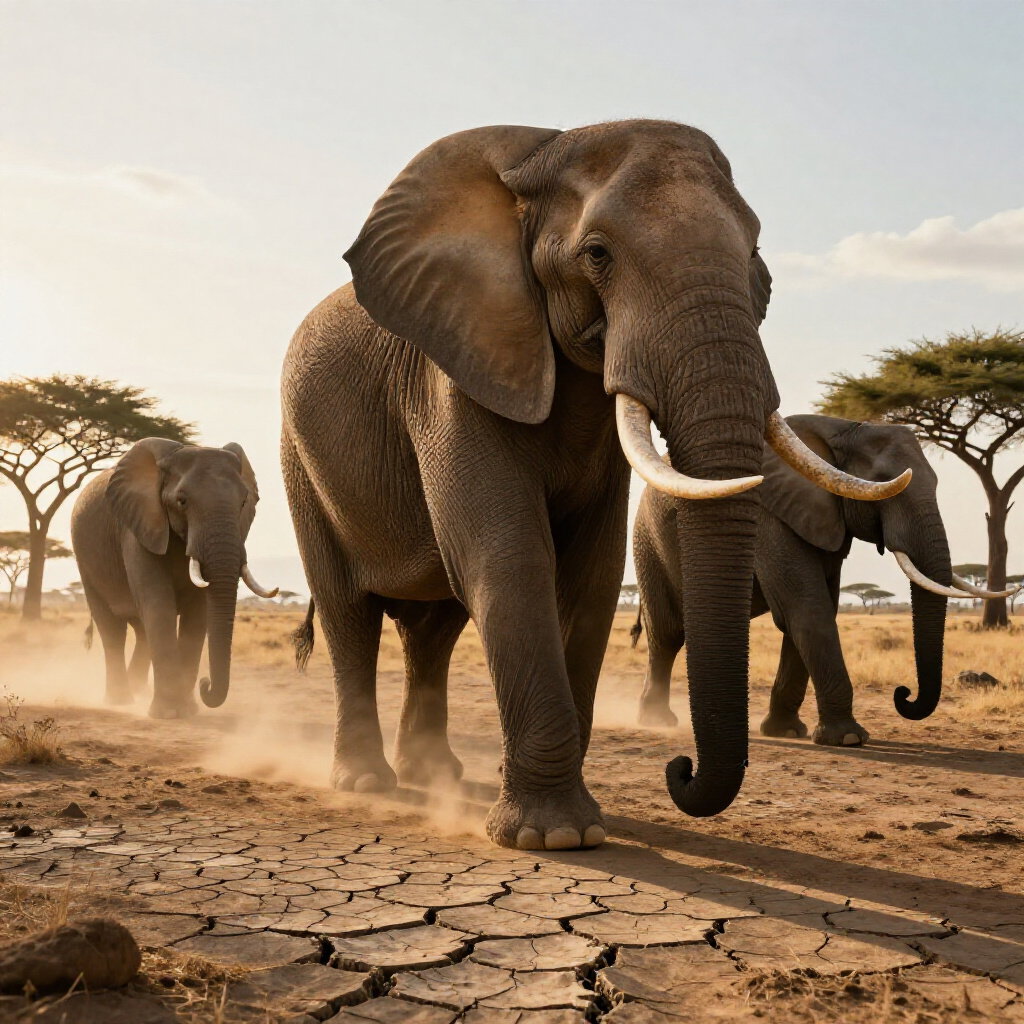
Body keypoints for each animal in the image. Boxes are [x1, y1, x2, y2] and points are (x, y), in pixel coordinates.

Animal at [71, 438, 278, 718]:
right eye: (182, 501)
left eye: (244, 502)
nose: (205, 684)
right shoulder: (139, 527)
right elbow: (159, 604)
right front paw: (168, 713)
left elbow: (198, 612)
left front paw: (187, 710)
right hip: (86, 559)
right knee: (112, 629)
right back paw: (120, 701)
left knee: (141, 631)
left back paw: (138, 692)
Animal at [281, 121, 907, 850]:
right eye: (598, 255)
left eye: (754, 252)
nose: (680, 768)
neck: (537, 158)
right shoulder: (453, 373)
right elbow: (508, 555)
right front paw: (552, 837)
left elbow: (591, 576)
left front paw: (564, 825)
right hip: (300, 460)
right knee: (349, 613)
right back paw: (367, 783)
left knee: (435, 631)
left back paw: (437, 775)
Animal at [632, 413, 1011, 744]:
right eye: (884, 485)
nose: (903, 693)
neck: (842, 430)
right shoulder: (769, 513)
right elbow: (806, 608)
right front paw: (848, 739)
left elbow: (813, 610)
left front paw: (785, 731)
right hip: (647, 542)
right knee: (667, 633)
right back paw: (657, 721)